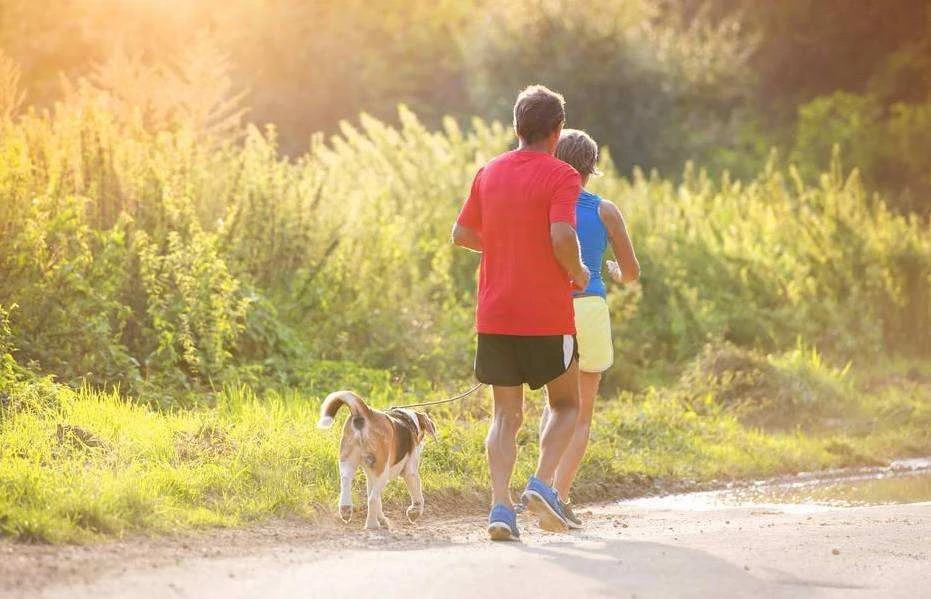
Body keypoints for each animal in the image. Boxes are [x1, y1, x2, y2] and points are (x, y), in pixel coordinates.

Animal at [316, 394, 436, 528]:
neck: (407, 419)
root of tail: (365, 412)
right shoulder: (410, 472)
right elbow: (417, 495)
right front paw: (414, 512)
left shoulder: (370, 475)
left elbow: (376, 498)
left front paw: (382, 519)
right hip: (383, 472)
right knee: (372, 499)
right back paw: (372, 524)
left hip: (347, 464)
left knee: (347, 484)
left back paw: (346, 510)